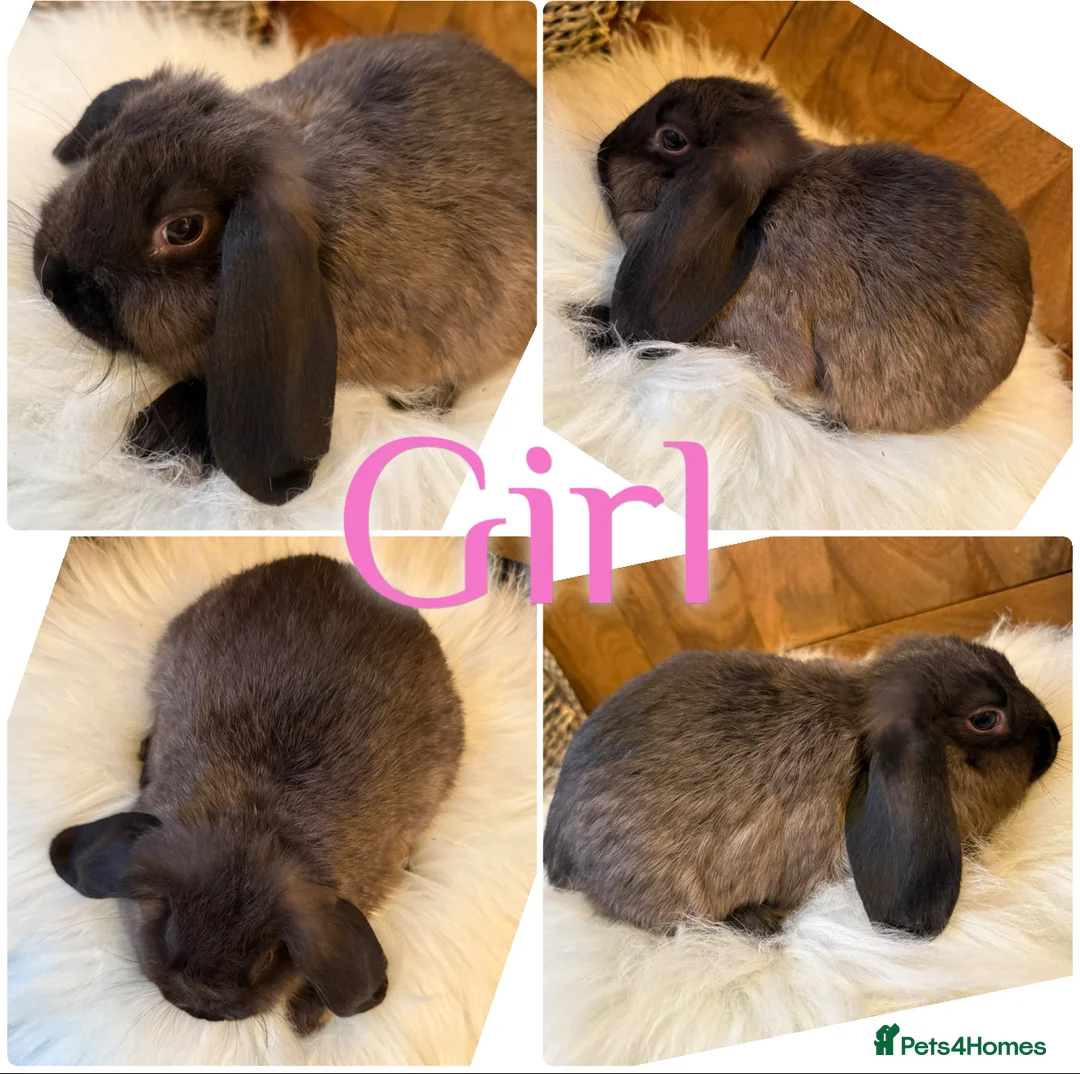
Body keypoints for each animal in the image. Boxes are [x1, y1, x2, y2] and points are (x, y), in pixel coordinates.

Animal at [49, 554, 465, 1035]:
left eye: (267, 958)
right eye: (169, 928)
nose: (201, 1006)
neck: (254, 820)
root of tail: (324, 564)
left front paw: (308, 1017)